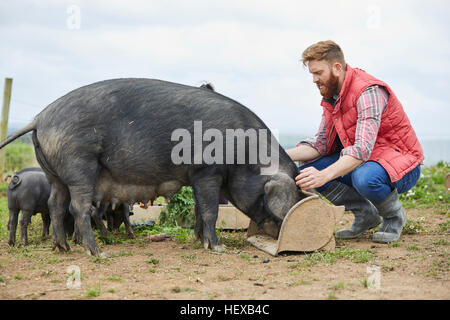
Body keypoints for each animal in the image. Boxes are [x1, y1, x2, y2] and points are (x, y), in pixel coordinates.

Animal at [0, 79, 304, 256]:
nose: (278, 233)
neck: (244, 152)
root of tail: (39, 118)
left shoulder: (196, 176)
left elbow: (198, 209)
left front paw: (198, 242)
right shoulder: (207, 171)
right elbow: (210, 210)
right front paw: (218, 248)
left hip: (54, 173)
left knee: (55, 204)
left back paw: (61, 248)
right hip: (78, 163)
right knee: (77, 208)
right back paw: (98, 253)